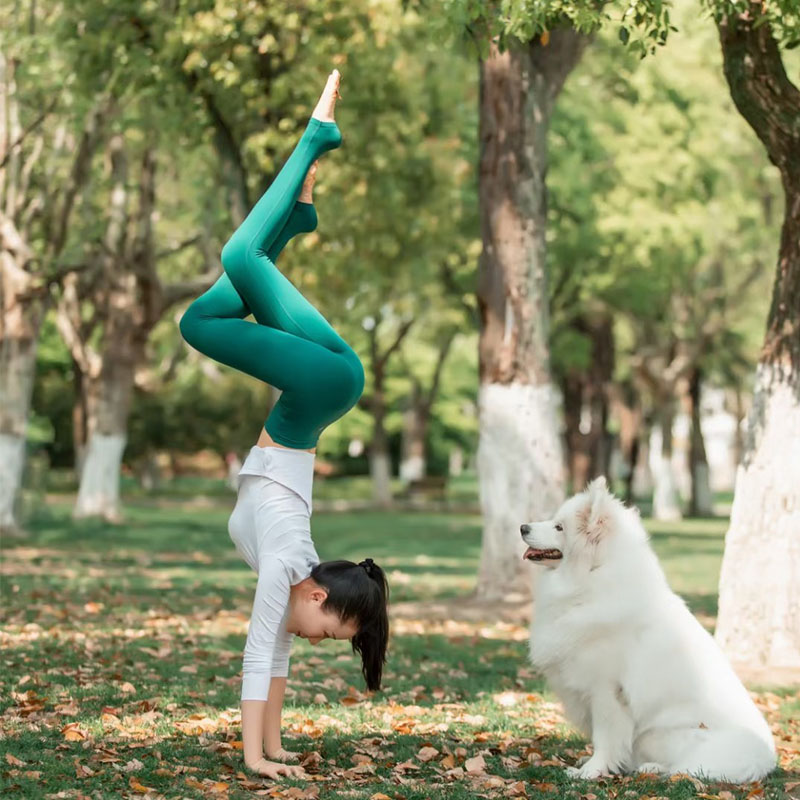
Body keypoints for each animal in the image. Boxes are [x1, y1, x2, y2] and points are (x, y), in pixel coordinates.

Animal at [520, 476, 776, 780]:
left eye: (559, 527)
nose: (523, 527)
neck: (592, 579)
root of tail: (764, 759)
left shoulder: (606, 691)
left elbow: (605, 737)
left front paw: (591, 771)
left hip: (668, 734)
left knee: (684, 767)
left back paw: (653, 768)